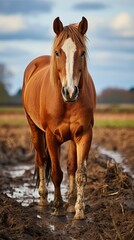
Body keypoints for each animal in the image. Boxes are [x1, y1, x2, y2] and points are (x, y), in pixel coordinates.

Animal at [22, 16, 96, 219]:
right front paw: (57, 207)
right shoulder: (51, 136)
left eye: (82, 53)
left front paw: (78, 210)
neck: (67, 103)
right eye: (57, 52)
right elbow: (56, 173)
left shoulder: (84, 134)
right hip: (35, 130)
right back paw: (43, 200)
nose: (70, 91)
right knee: (41, 160)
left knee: (70, 167)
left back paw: (69, 203)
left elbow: (79, 173)